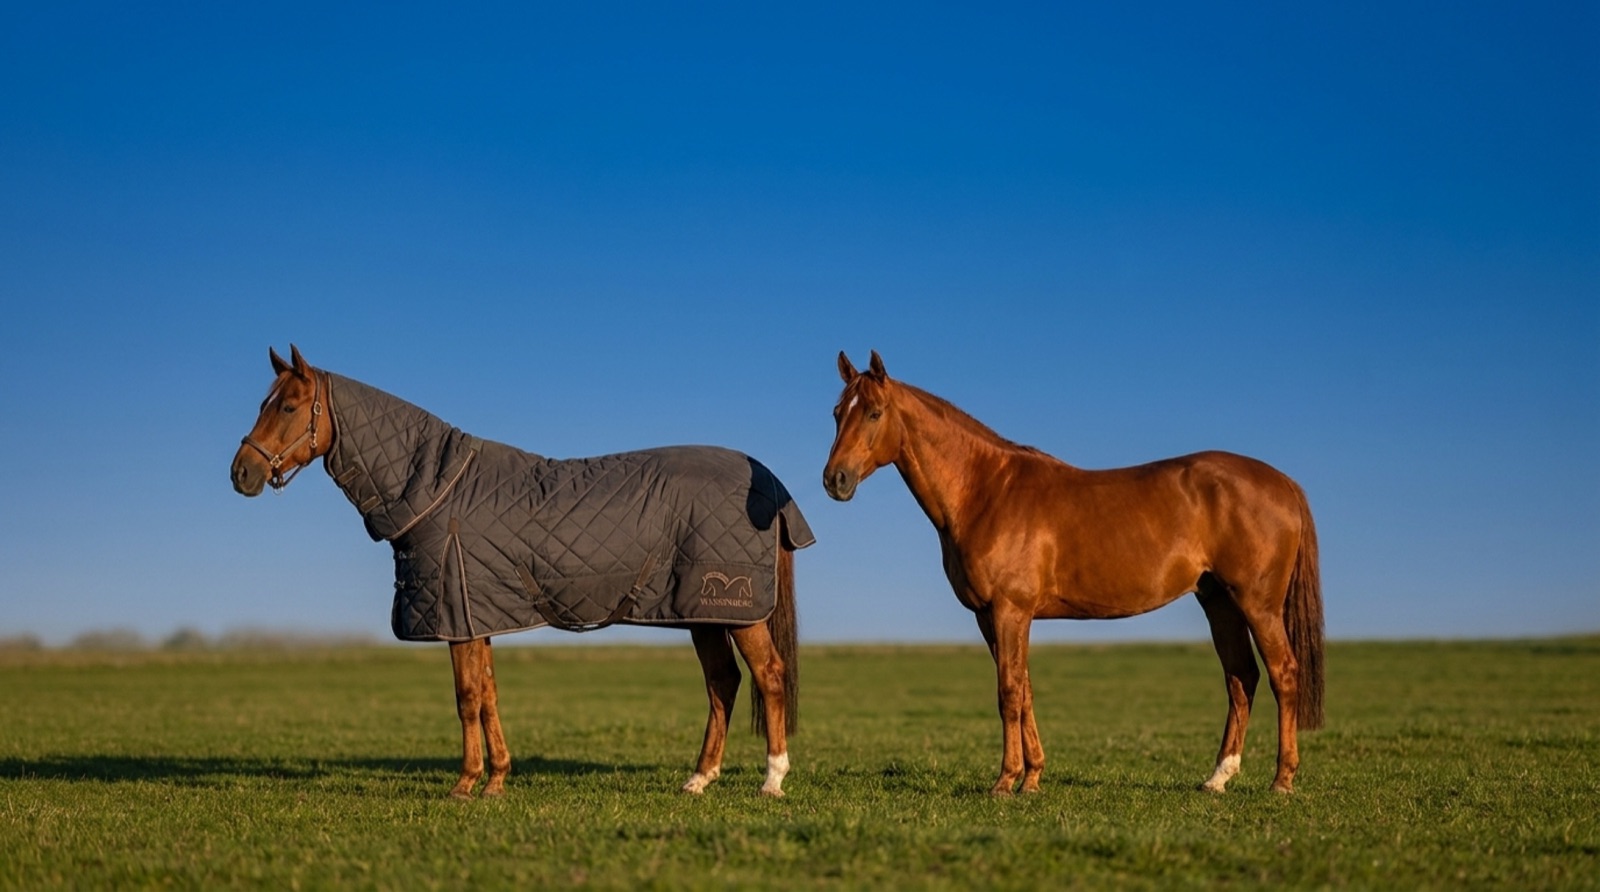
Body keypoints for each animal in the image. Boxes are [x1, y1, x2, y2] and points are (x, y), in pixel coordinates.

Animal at [231, 345, 811, 798]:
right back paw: (699, 779)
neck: (439, 490)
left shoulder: (457, 616)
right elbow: (487, 694)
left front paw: (465, 784)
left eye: (287, 405)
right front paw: (495, 780)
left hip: (737, 612)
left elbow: (467, 698)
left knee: (769, 676)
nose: (242, 473)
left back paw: (772, 780)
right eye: (263, 404)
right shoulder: (475, 616)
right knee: (723, 683)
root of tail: (769, 484)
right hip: (702, 614)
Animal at [822, 350, 1323, 796]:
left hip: (1257, 604)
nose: (835, 480)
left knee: (1283, 674)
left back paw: (1282, 780)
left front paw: (1005, 782)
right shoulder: (990, 616)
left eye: (874, 413)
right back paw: (1217, 778)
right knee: (1241, 678)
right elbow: (1024, 690)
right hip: (1219, 601)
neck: (986, 490)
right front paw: (1032, 779)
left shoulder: (1010, 610)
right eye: (837, 413)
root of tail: (1282, 482)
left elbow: (1008, 692)